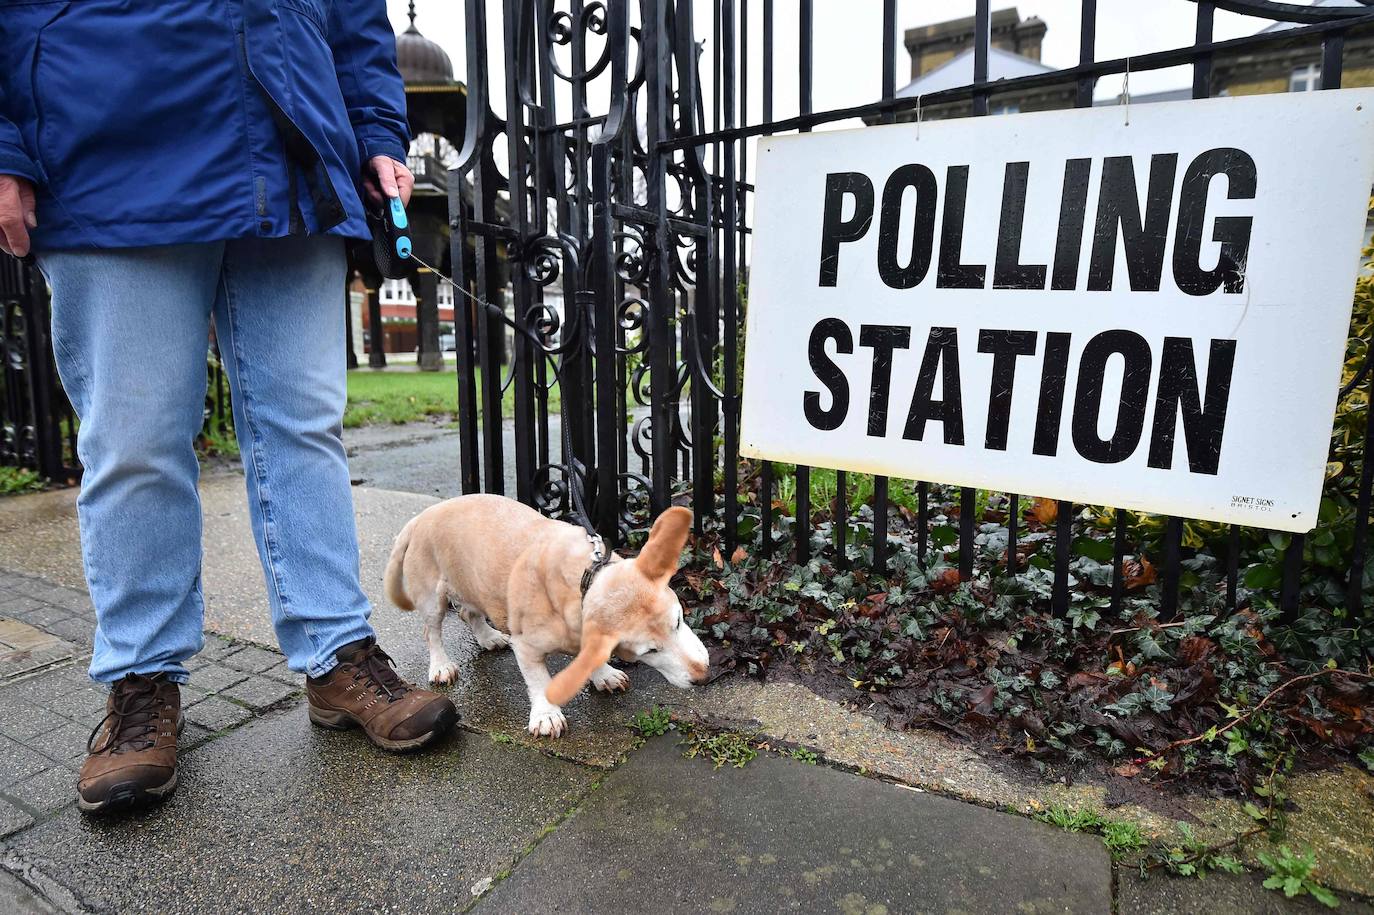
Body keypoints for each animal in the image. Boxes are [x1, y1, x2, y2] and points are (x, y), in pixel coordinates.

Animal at [384, 491, 708, 736]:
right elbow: (539, 681)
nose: (703, 677)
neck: (585, 579)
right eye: (650, 651)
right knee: (432, 631)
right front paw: (546, 715)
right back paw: (441, 665)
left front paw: (603, 674)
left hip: (473, 583)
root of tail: (423, 516)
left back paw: (488, 637)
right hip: (431, 597)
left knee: (468, 613)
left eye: (678, 621)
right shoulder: (527, 647)